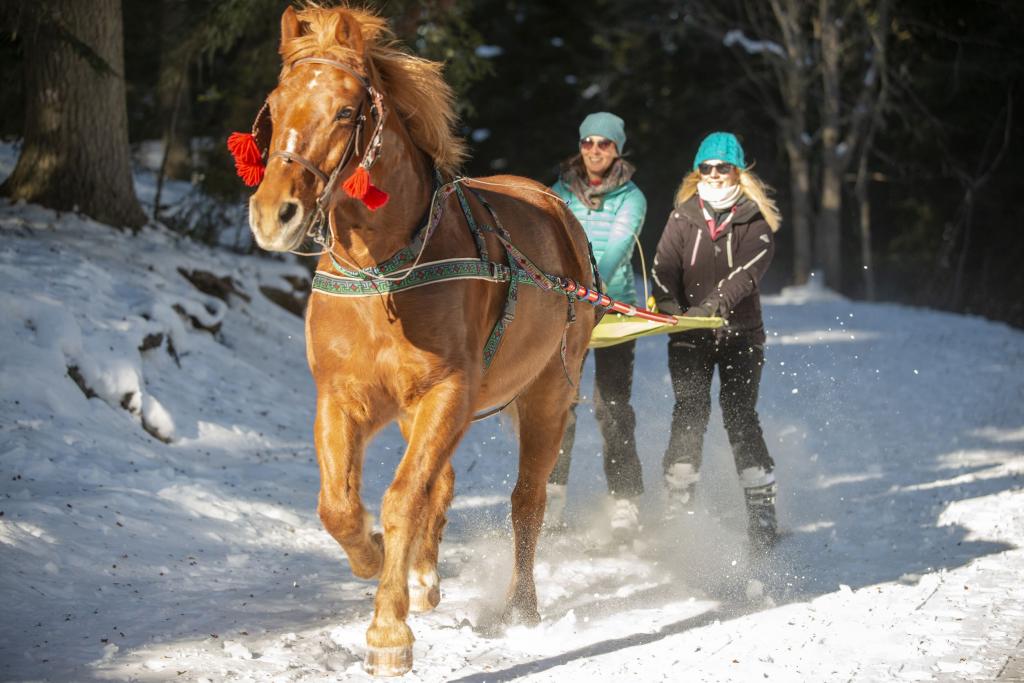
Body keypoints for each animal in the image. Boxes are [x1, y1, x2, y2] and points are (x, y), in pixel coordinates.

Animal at [244, 3, 598, 679]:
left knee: (527, 500)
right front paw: (379, 557)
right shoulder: (343, 397)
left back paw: (520, 605)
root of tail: (555, 209)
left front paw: (388, 631)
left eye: (346, 111)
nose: (274, 213)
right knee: (447, 483)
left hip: (546, 394)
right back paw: (425, 575)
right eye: (273, 106)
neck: (383, 275)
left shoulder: (448, 392)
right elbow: (339, 505)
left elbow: (403, 498)